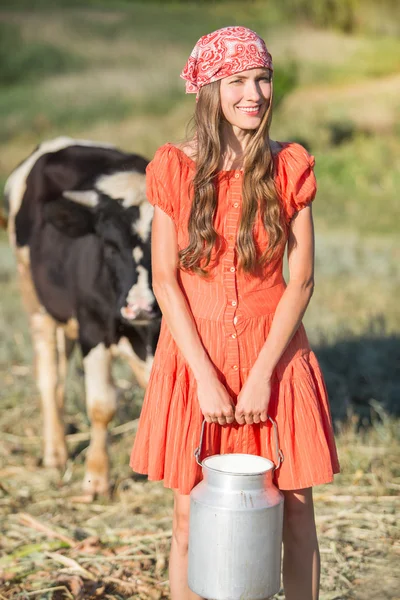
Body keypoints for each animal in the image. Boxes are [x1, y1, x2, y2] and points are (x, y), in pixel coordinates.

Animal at [4, 138, 161, 494]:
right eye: (110, 244)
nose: (141, 307)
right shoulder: (93, 329)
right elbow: (102, 405)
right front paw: (97, 478)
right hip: (36, 303)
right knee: (50, 378)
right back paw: (55, 453)